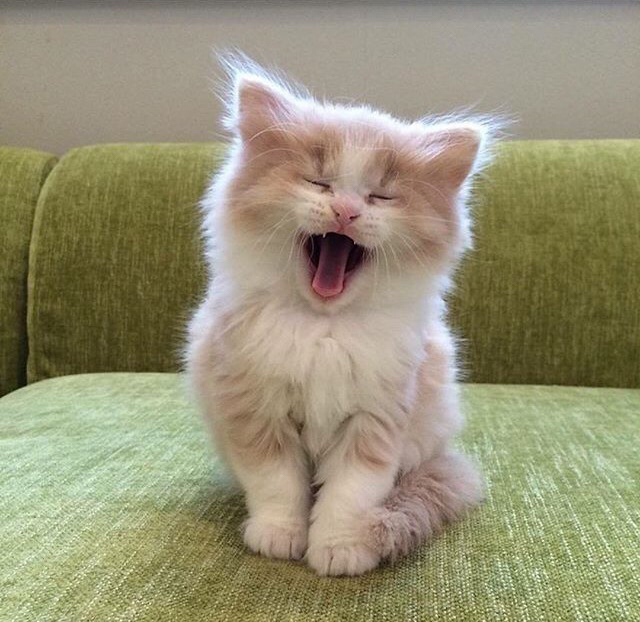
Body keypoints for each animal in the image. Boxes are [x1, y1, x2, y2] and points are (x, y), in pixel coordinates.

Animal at [186, 58, 496, 576]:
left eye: (381, 196)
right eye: (319, 182)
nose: (346, 212)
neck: (324, 328)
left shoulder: (375, 419)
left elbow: (351, 494)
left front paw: (340, 549)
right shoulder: (257, 409)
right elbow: (277, 484)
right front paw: (278, 536)